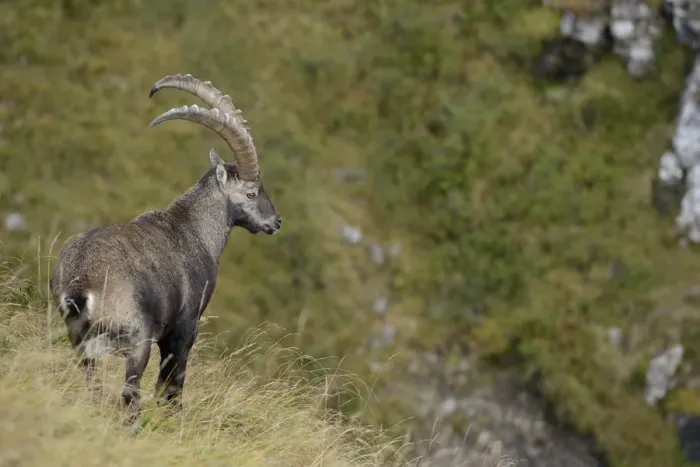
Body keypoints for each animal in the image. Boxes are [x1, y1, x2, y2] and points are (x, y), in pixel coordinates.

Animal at [50, 74, 282, 413]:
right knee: (130, 395)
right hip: (136, 343)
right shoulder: (184, 327)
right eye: (251, 193)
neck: (194, 229)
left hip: (81, 344)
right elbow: (172, 383)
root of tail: (81, 284)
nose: (275, 222)